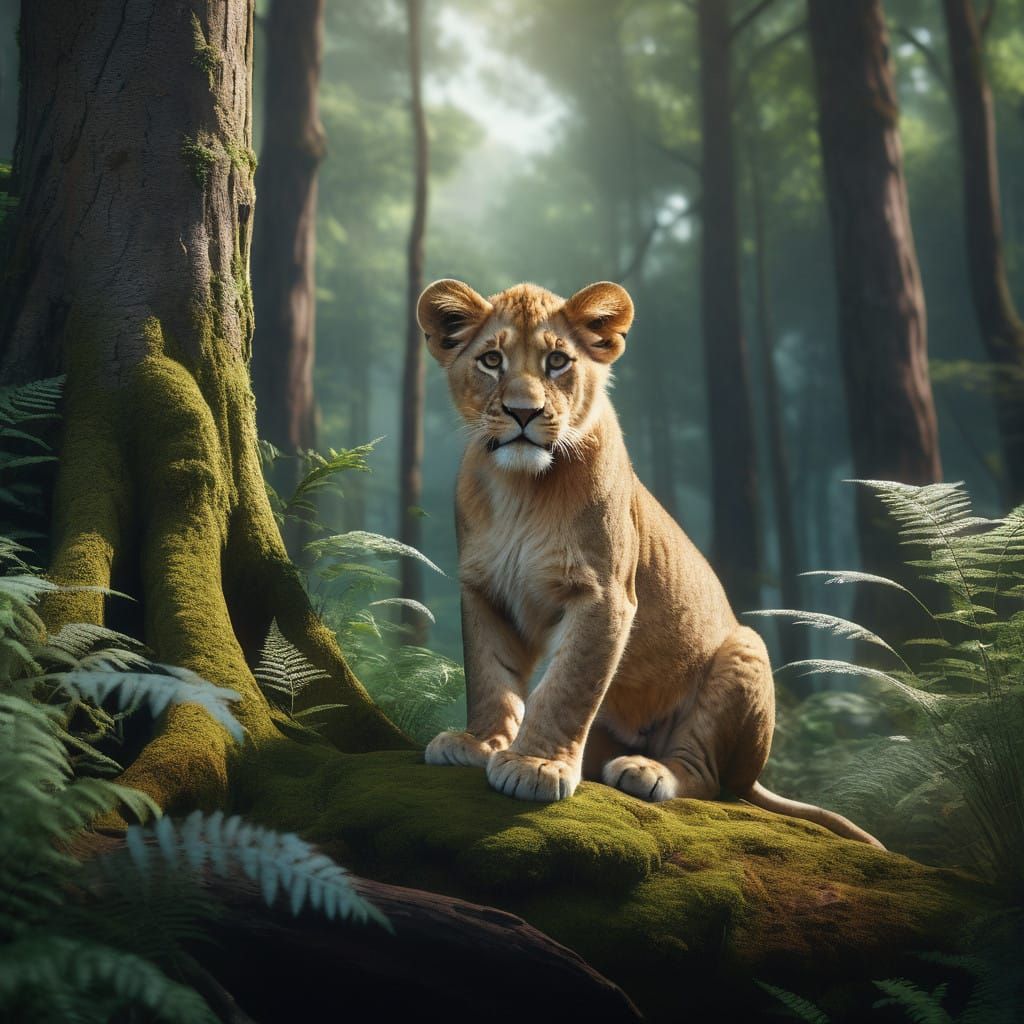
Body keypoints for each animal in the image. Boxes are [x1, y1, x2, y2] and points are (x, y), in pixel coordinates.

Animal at [417, 278, 883, 848]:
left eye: (556, 362)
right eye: (490, 360)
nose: (523, 412)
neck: (521, 488)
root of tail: (753, 774)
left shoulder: (605, 593)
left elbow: (568, 685)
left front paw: (535, 766)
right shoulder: (484, 591)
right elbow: (489, 676)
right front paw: (481, 743)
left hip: (744, 651)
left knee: (708, 779)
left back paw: (647, 771)